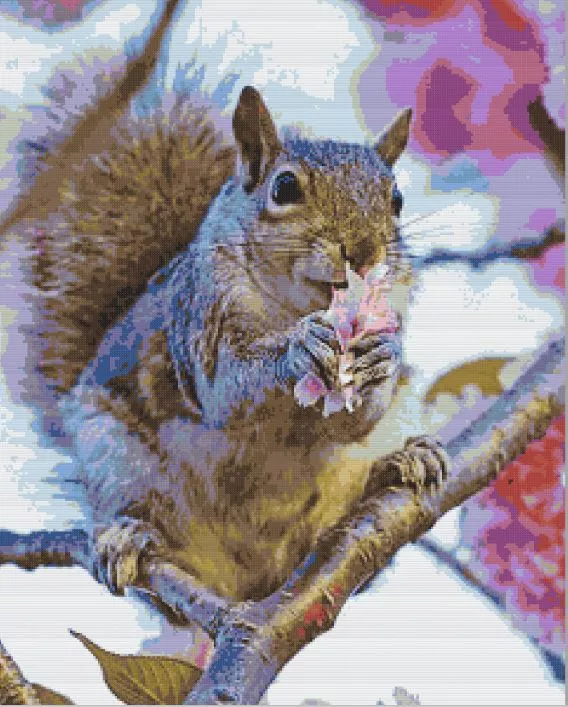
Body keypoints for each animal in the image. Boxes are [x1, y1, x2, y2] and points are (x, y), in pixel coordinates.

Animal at [7, 51, 449, 602]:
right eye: (284, 187)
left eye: (397, 199)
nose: (365, 251)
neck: (290, 307)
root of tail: (252, 590)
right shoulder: (204, 319)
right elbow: (230, 389)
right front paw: (298, 349)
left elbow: (355, 420)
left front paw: (382, 356)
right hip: (113, 453)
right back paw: (129, 535)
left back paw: (402, 462)